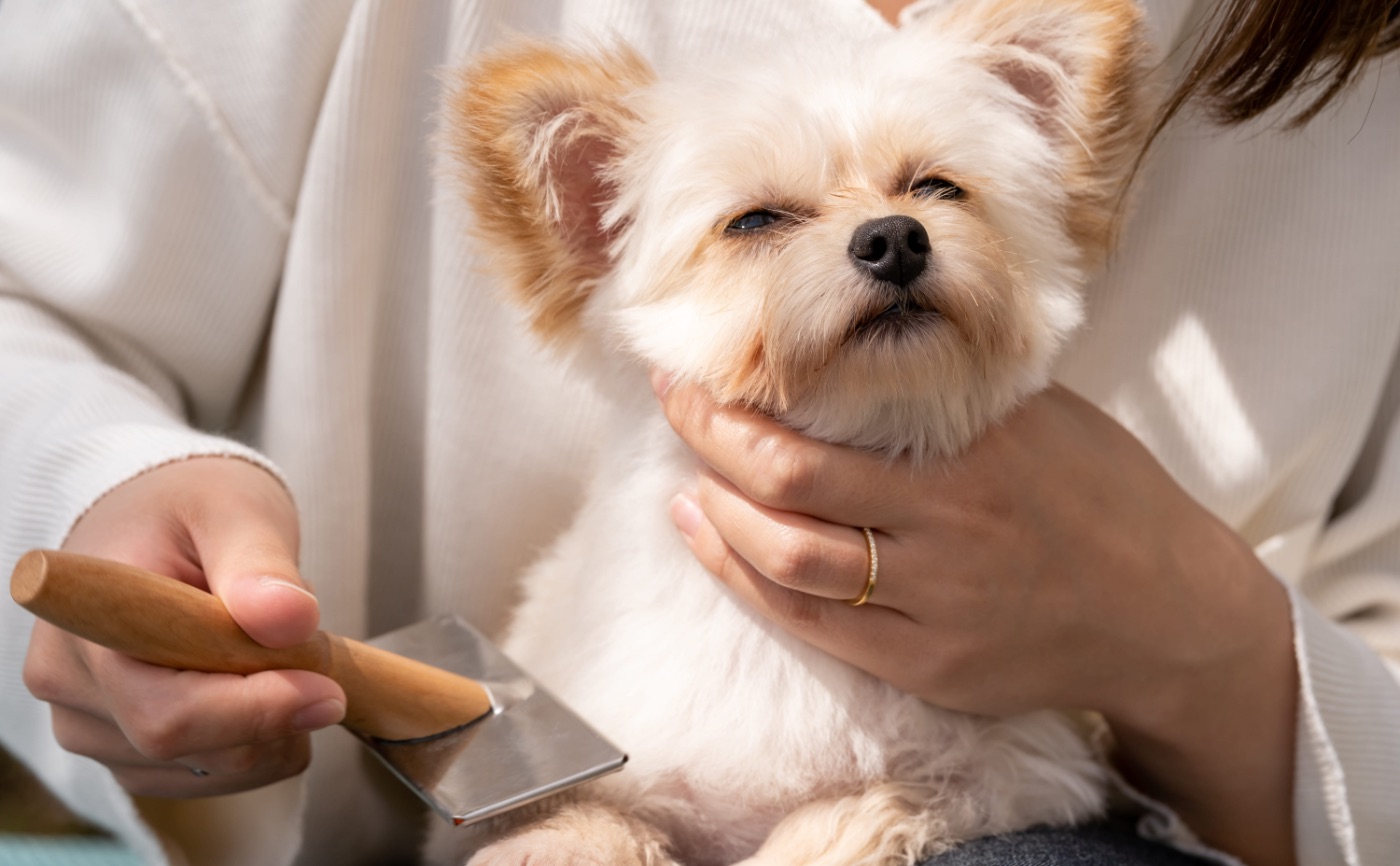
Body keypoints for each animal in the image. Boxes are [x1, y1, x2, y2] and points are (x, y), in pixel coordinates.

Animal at [431, 3, 1153, 861]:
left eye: (938, 187)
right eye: (753, 221)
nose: (895, 237)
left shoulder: (1027, 762)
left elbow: (873, 804)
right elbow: (590, 813)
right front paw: (562, 841)